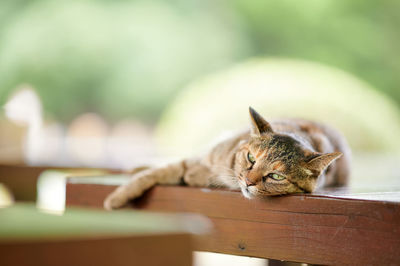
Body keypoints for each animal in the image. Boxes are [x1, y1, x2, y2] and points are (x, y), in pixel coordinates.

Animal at [104, 106, 350, 210]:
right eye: (251, 158)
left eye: (277, 176)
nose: (248, 182)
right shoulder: (201, 158)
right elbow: (153, 173)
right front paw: (118, 196)